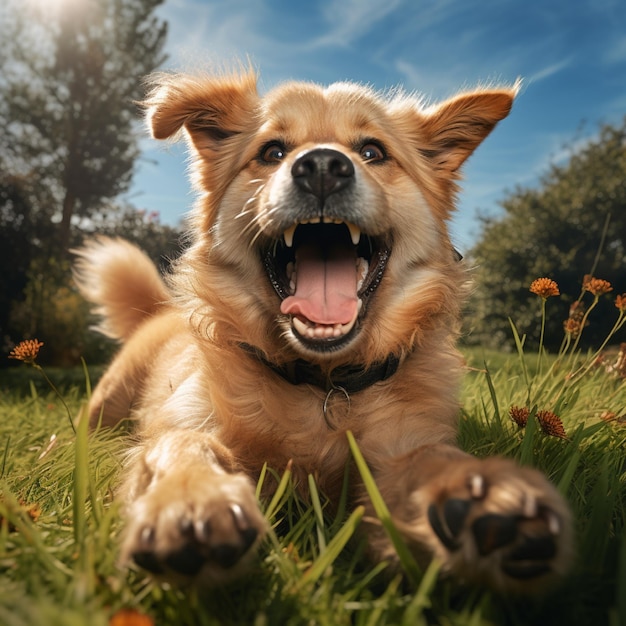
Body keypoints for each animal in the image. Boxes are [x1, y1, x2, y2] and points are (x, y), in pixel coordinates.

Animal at [74, 68, 572, 588]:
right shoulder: (188, 418)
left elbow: (430, 460)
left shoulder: (399, 449)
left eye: (372, 151)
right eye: (272, 151)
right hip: (106, 402)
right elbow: (182, 444)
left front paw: (485, 495)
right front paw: (190, 498)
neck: (323, 386)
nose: (322, 167)